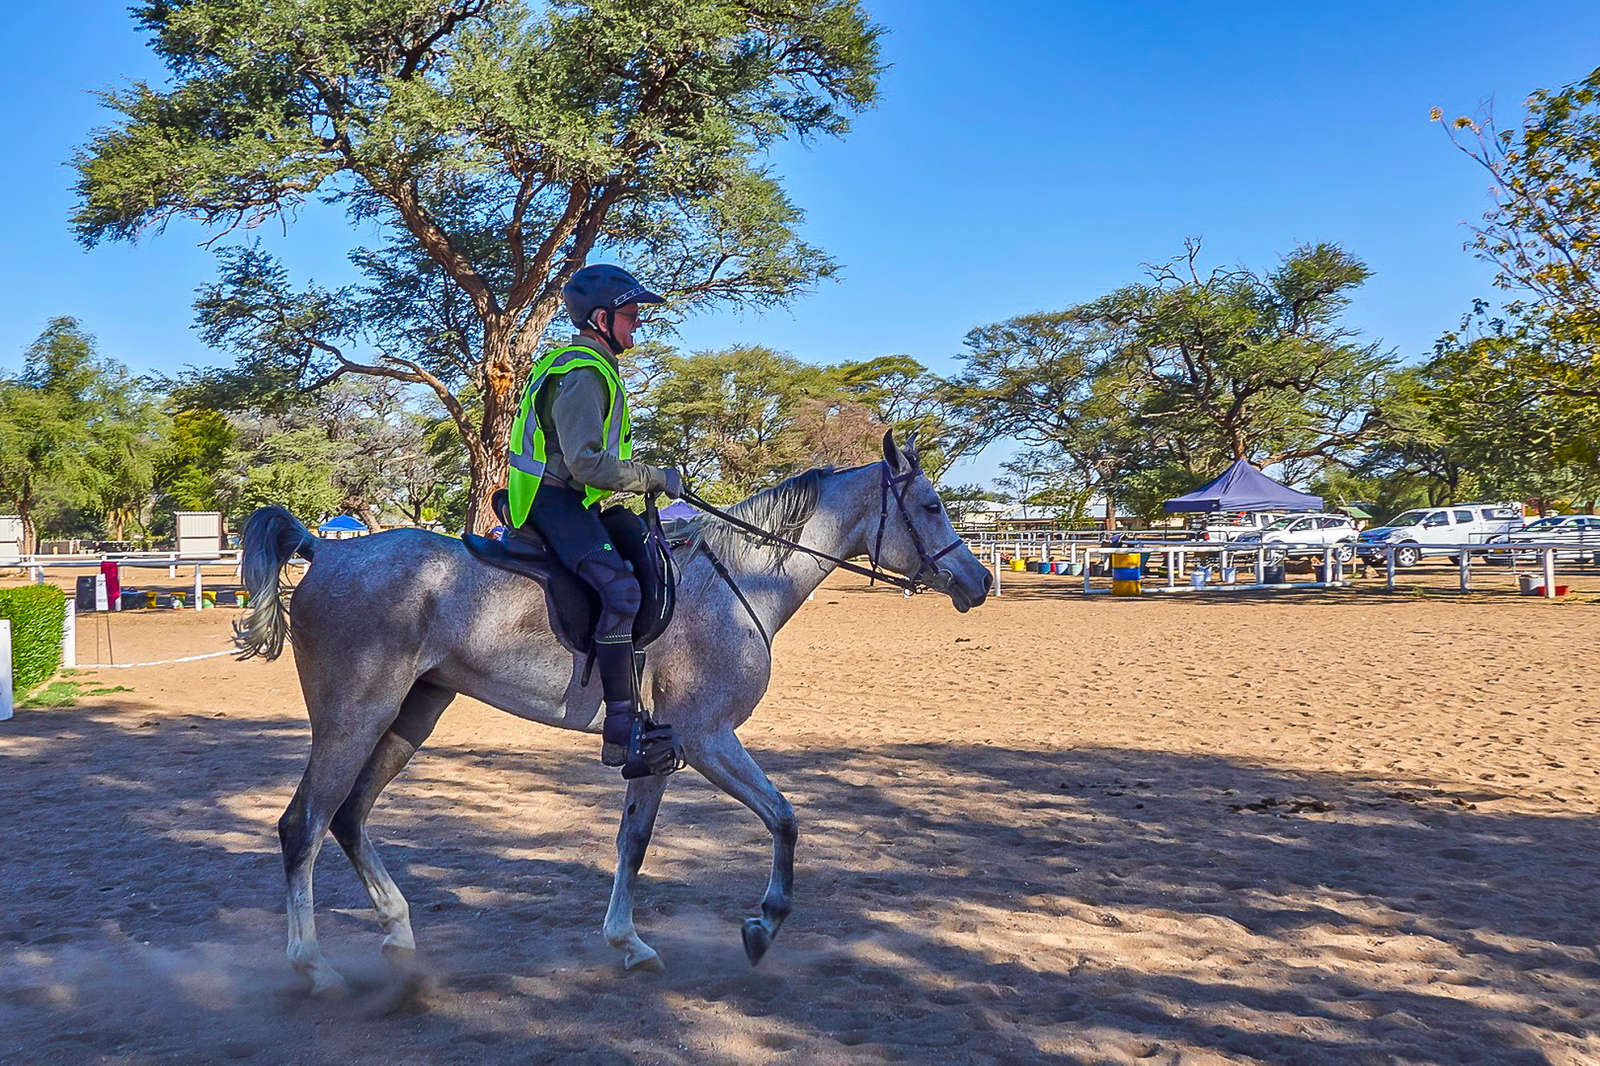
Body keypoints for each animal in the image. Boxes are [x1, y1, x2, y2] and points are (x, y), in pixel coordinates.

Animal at [236, 431, 992, 994]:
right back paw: (314, 967)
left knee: (350, 815)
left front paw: (628, 942)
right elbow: (783, 817)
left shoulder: (662, 750)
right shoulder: (707, 738)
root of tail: (325, 552)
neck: (740, 579)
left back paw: (397, 933)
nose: (980, 580)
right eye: (930, 506)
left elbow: (635, 841)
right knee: (304, 825)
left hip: (409, 716)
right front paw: (763, 925)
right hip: (353, 718)